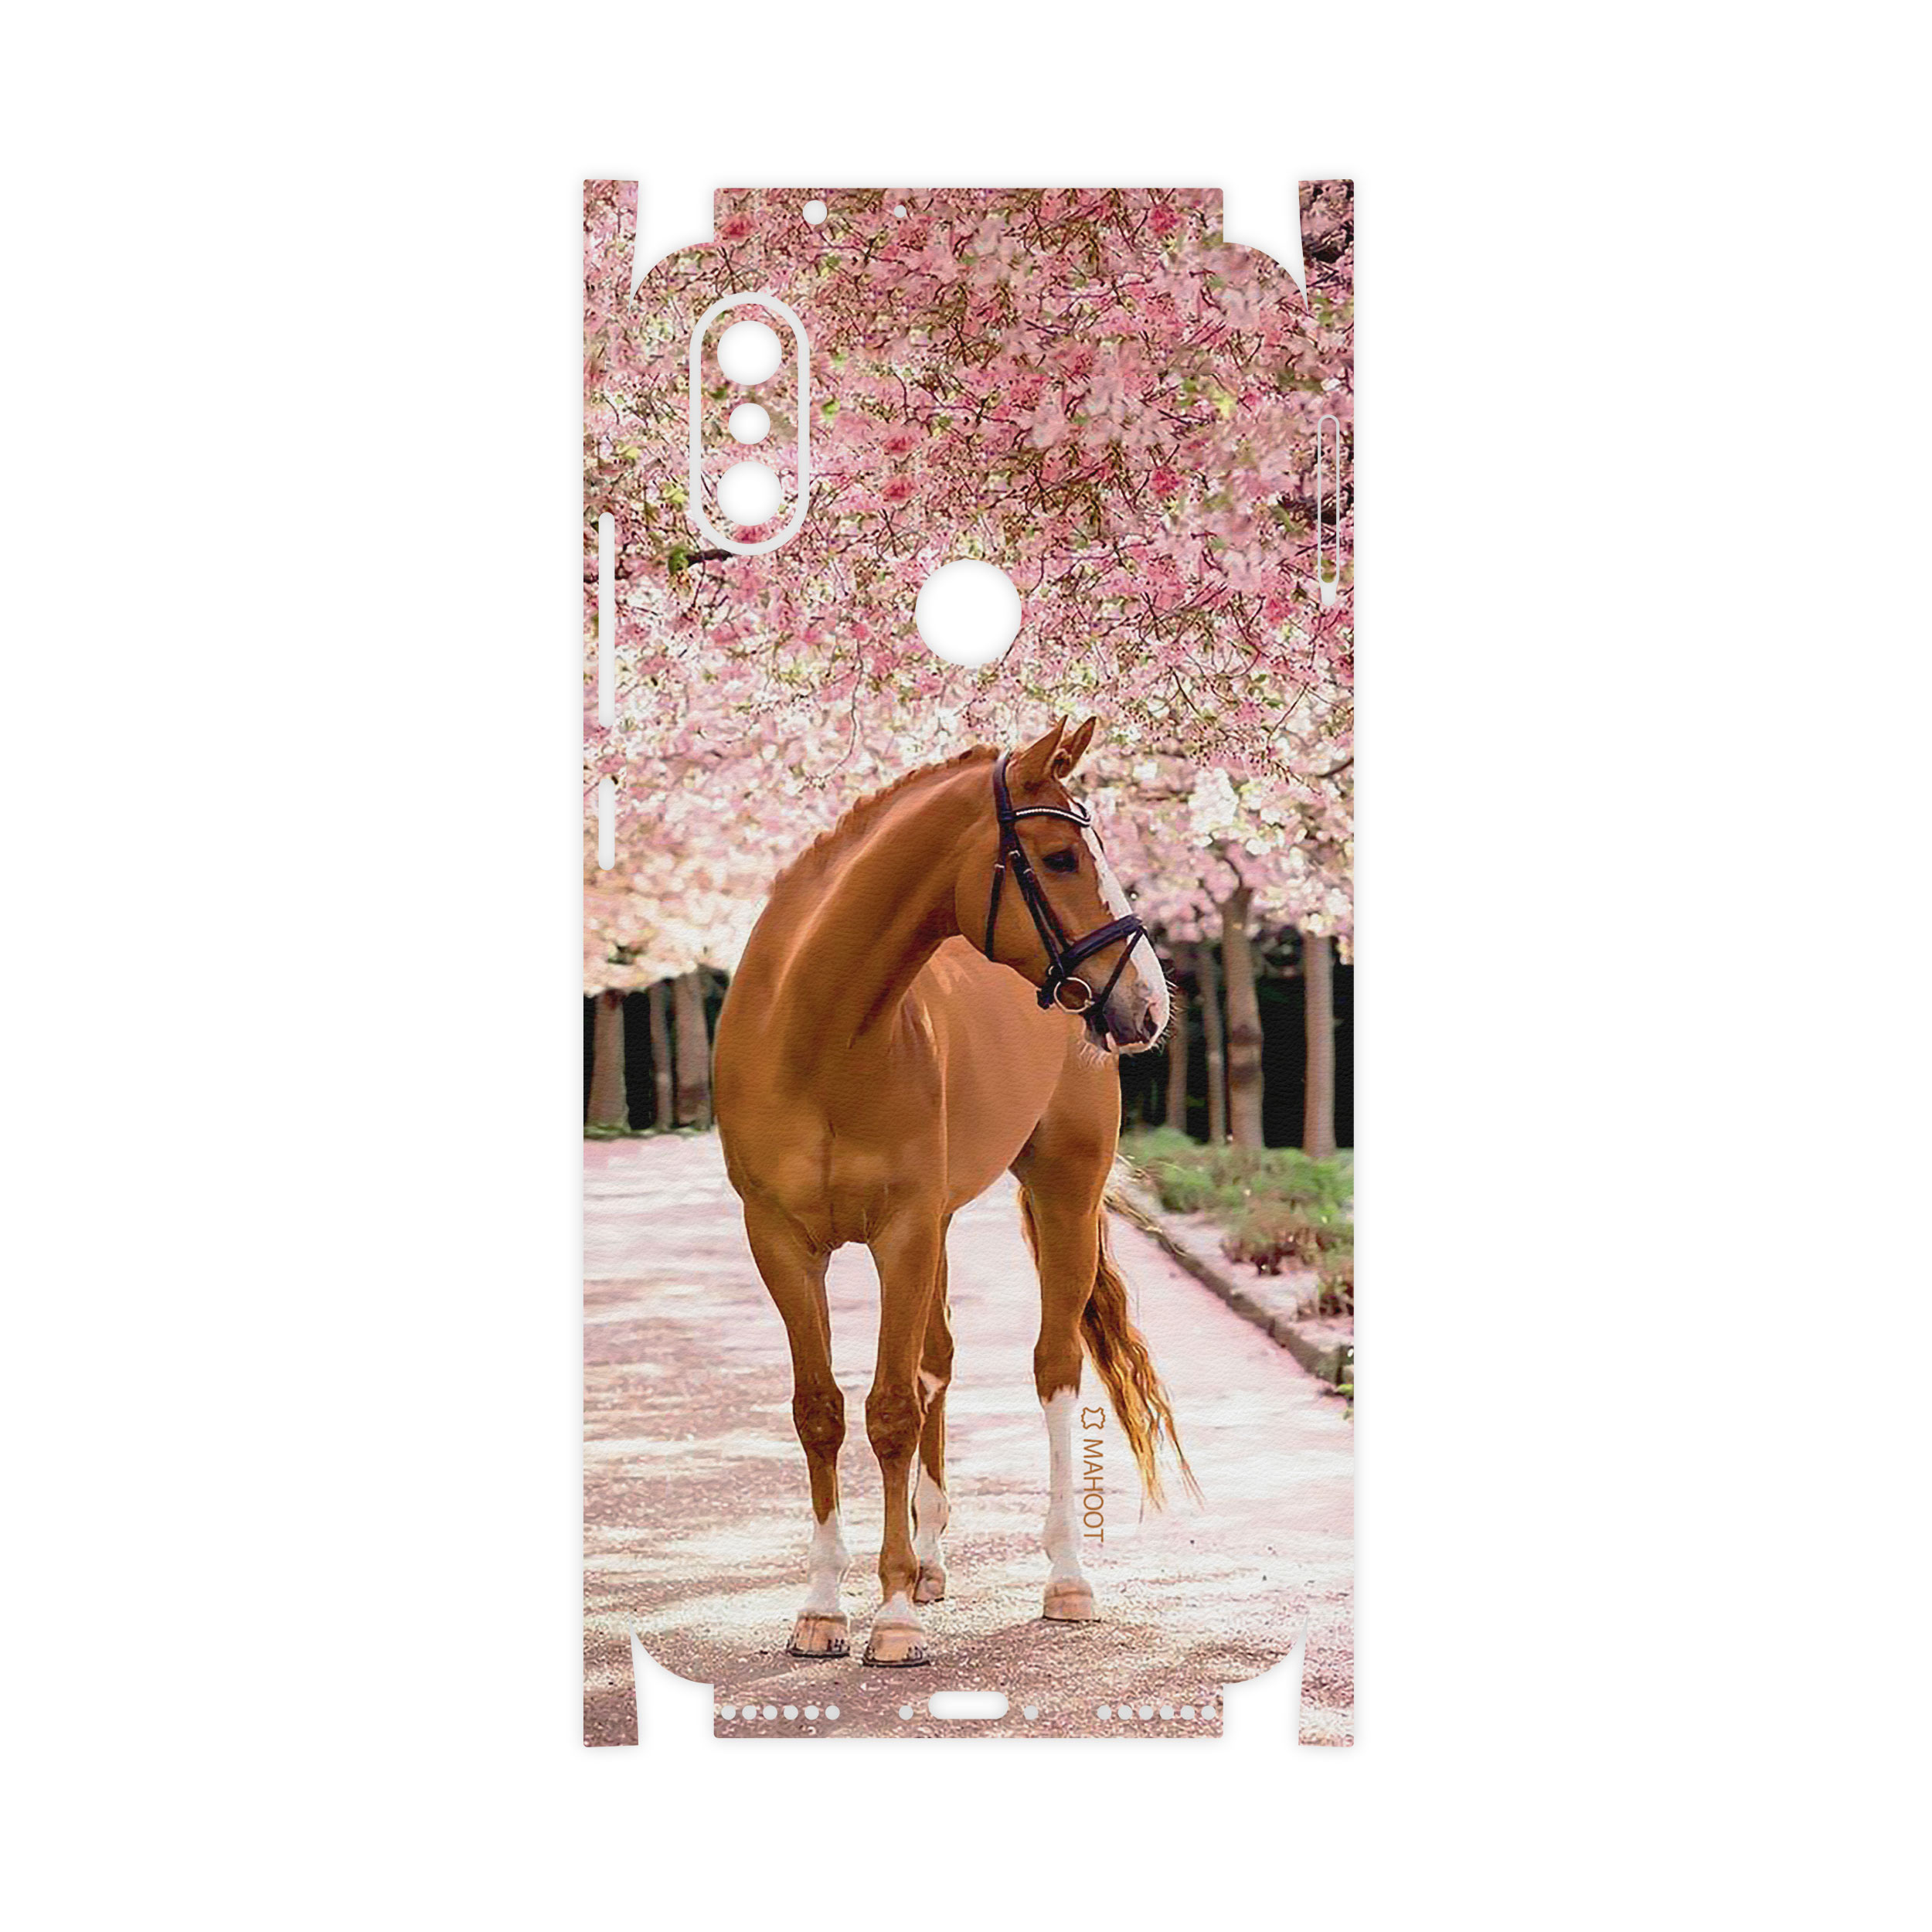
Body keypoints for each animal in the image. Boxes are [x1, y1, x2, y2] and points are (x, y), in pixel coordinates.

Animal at [713, 716, 1193, 1667]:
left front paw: (892, 1617)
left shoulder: (900, 1232)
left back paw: (1064, 1579)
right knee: (937, 1361)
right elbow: (822, 1411)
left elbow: (892, 1409)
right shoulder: (782, 1241)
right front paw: (823, 1608)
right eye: (1058, 857)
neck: (817, 1033)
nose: (1150, 1004)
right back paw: (931, 1562)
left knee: (1052, 1367)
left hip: (1062, 1194)